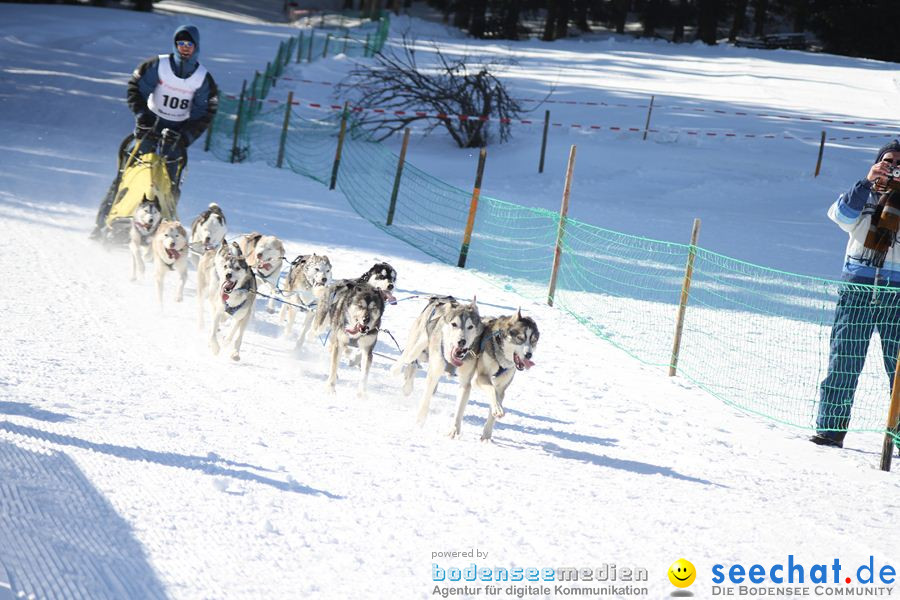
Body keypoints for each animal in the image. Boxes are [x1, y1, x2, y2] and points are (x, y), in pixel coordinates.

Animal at [448, 310, 536, 440]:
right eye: (520, 338)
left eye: (534, 341)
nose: (528, 355)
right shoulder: (480, 378)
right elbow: (491, 390)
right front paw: (498, 409)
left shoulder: (501, 388)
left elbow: (494, 404)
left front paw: (486, 436)